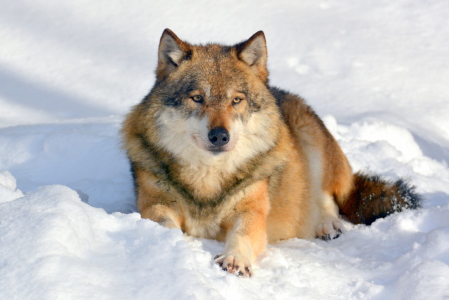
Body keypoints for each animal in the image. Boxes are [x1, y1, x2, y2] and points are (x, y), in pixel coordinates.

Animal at [121, 28, 422, 276]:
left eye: (236, 100)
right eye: (197, 98)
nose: (219, 136)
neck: (208, 179)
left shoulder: (252, 211)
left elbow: (242, 236)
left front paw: (234, 260)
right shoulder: (154, 204)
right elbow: (166, 226)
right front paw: (177, 246)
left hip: (310, 141)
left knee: (328, 197)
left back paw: (327, 224)